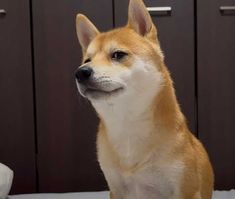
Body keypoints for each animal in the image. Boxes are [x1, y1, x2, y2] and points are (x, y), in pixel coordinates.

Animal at [74, 0, 214, 197]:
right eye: (87, 60)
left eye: (118, 54)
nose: (81, 72)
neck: (128, 125)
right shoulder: (116, 189)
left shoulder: (185, 190)